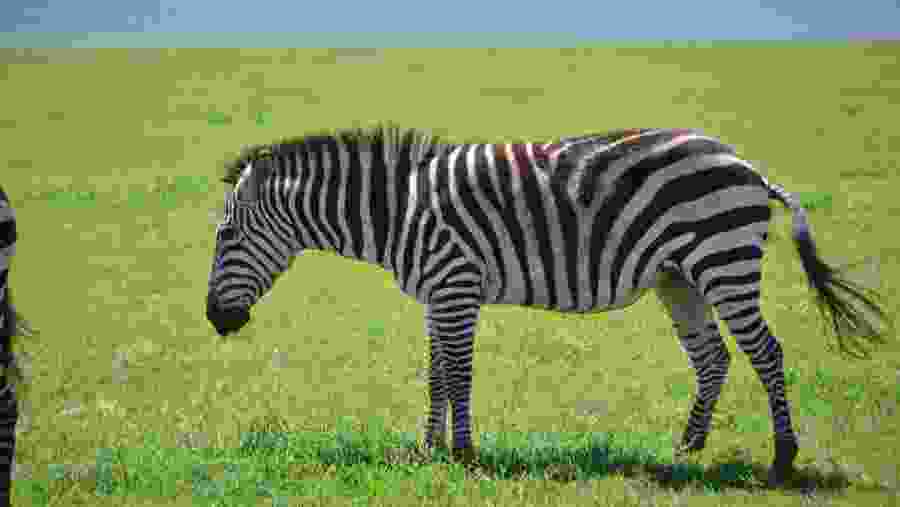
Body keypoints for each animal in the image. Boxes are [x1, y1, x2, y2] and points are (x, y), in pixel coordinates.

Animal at [206, 125, 890, 486]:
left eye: (226, 236)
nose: (217, 319)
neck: (400, 211)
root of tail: (745, 163)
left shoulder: (455, 285)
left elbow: (458, 373)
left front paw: (464, 454)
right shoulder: (437, 294)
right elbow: (435, 375)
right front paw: (427, 450)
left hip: (723, 262)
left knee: (766, 352)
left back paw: (781, 461)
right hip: (680, 278)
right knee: (714, 357)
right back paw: (684, 452)